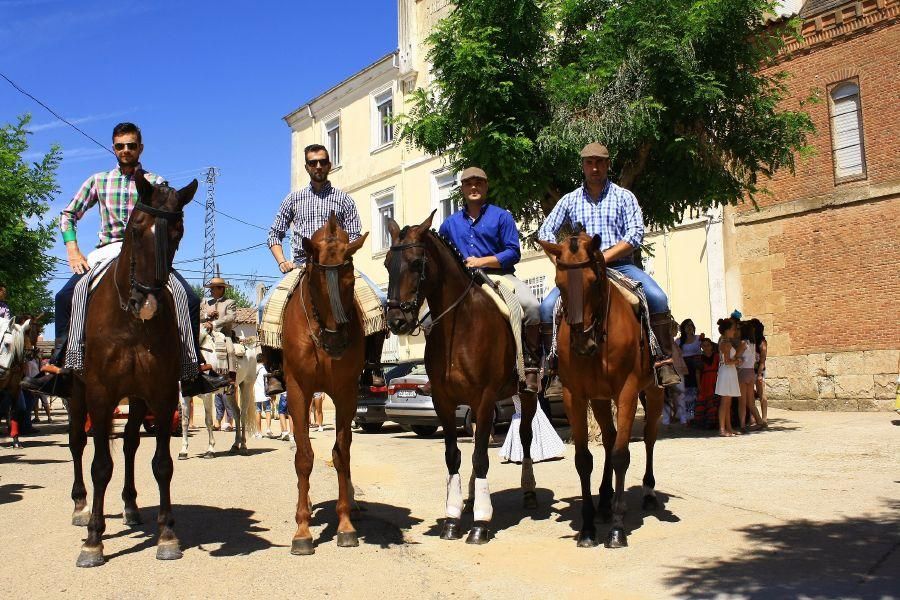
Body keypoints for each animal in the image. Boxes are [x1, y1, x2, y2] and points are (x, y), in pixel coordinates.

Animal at [67, 171, 199, 564]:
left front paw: (167, 534)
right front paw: (93, 540)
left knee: (128, 445)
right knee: (78, 442)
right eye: (137, 228)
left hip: (137, 399)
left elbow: (162, 464)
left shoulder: (163, 395)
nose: (147, 302)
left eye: (178, 232)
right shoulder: (100, 395)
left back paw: (130, 506)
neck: (130, 323)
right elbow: (100, 466)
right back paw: (80, 507)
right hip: (77, 395)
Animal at [178, 330, 256, 458]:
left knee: (243, 415)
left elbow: (208, 421)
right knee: (236, 413)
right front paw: (183, 450)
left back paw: (243, 446)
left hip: (247, 386)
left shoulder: (206, 395)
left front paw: (210, 449)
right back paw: (235, 445)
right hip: (229, 392)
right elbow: (184, 421)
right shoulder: (184, 395)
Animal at [384, 210, 536, 544]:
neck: (460, 325)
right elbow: (454, 455)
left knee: (526, 437)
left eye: (417, 263)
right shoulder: (444, 401)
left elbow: (480, 457)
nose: (397, 321)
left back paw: (529, 491)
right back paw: (470, 497)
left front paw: (480, 523)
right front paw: (453, 518)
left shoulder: (485, 398)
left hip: (527, 394)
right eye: (388, 264)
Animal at [536, 232, 664, 552]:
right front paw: (588, 528)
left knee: (649, 438)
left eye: (594, 282)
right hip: (600, 399)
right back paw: (604, 501)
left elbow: (621, 454)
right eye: (559, 283)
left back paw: (647, 493)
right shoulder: (575, 396)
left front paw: (617, 530)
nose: (582, 344)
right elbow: (584, 459)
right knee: (607, 438)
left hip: (653, 393)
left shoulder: (627, 391)